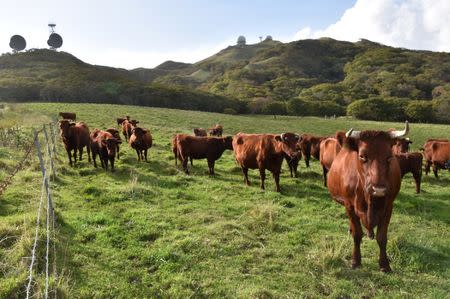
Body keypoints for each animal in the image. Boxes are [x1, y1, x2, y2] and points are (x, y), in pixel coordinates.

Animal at [326, 120, 410, 274]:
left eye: (389, 157)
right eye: (362, 156)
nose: (379, 189)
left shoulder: (388, 207)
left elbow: (382, 237)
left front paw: (384, 264)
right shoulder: (349, 206)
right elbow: (357, 234)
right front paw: (356, 261)